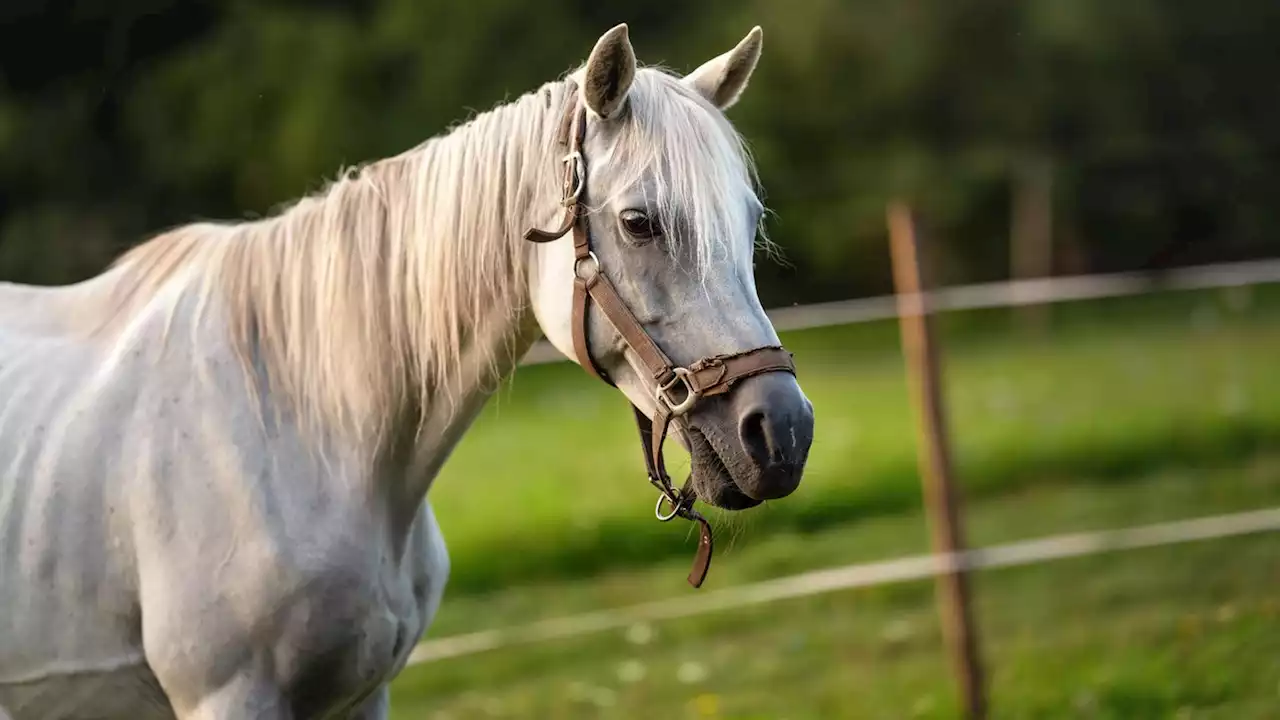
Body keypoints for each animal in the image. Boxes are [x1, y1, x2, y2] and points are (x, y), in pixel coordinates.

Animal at [0, 25, 814, 712]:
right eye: (640, 222)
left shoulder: (363, 696)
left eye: (749, 220)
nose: (782, 432)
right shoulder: (227, 699)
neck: (302, 426)